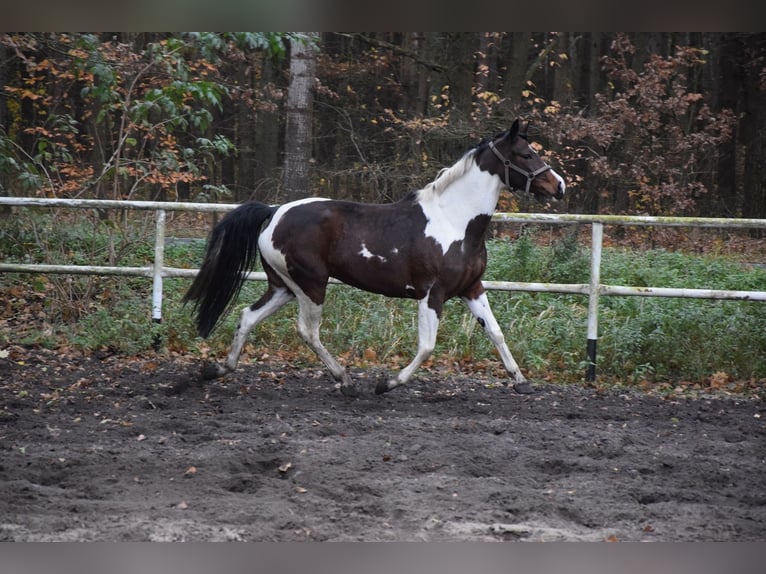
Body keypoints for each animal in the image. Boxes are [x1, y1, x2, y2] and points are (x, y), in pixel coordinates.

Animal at [183, 120, 568, 400]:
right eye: (525, 154)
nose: (559, 186)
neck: (455, 221)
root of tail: (275, 211)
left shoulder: (472, 288)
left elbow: (497, 333)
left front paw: (521, 381)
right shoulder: (432, 295)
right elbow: (427, 346)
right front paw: (387, 384)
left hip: (284, 286)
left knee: (247, 316)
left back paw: (218, 369)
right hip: (311, 285)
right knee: (308, 331)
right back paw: (345, 380)